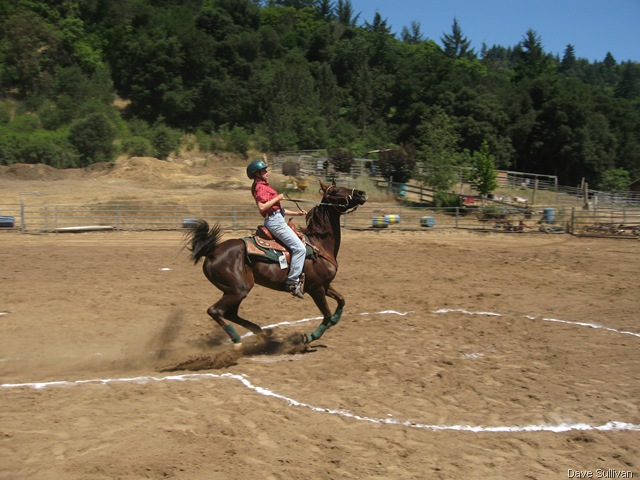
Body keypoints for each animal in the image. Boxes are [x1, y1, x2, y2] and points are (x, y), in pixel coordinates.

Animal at [183, 180, 367, 348]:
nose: (361, 193)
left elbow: (341, 301)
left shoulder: (325, 285)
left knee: (230, 314)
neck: (319, 243)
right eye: (335, 190)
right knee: (215, 311)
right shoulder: (316, 288)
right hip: (238, 289)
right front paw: (308, 337)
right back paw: (237, 340)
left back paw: (261, 333)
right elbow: (327, 314)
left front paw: (335, 319)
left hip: (235, 290)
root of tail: (212, 252)